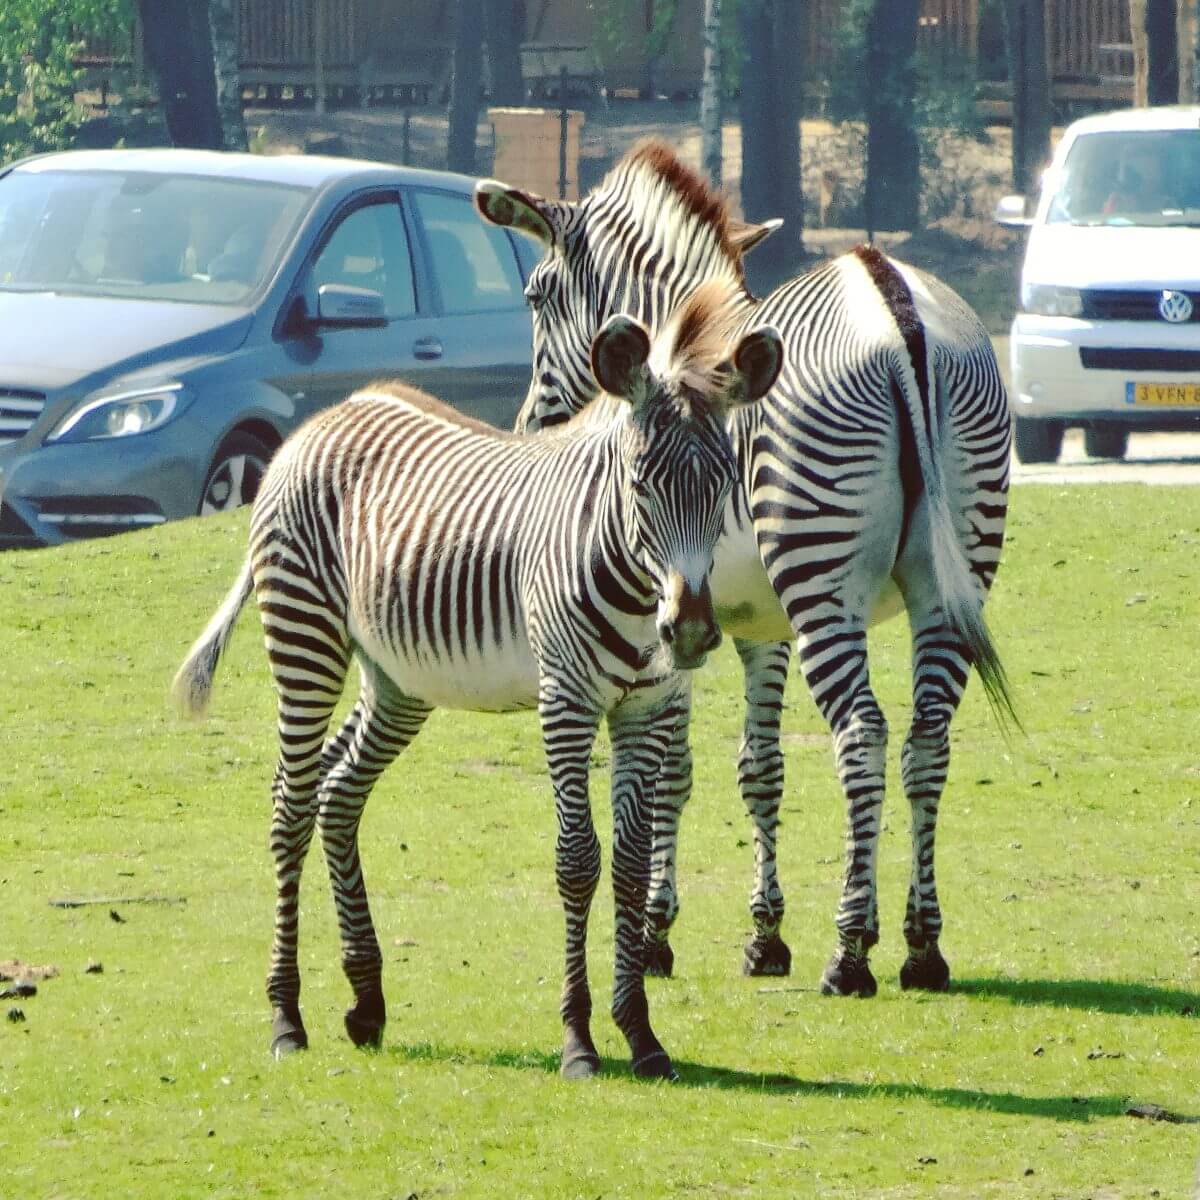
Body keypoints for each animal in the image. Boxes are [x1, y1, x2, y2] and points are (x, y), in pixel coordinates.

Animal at [174, 283, 782, 1080]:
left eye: (723, 485)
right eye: (641, 484)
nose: (685, 630)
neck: (623, 571)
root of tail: (321, 420)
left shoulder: (644, 708)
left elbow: (628, 863)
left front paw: (642, 1035)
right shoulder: (566, 701)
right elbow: (577, 860)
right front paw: (579, 1039)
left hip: (397, 681)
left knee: (336, 794)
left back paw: (367, 1002)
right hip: (306, 639)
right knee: (289, 806)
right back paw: (286, 1015)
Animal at [472, 140, 1017, 998]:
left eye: (536, 295)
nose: (532, 426)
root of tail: (892, 302)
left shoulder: (675, 615)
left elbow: (673, 769)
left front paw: (655, 935)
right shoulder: (763, 625)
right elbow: (760, 768)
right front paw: (766, 936)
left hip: (822, 578)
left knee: (862, 735)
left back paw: (849, 955)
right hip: (954, 573)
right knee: (927, 739)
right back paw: (921, 947)